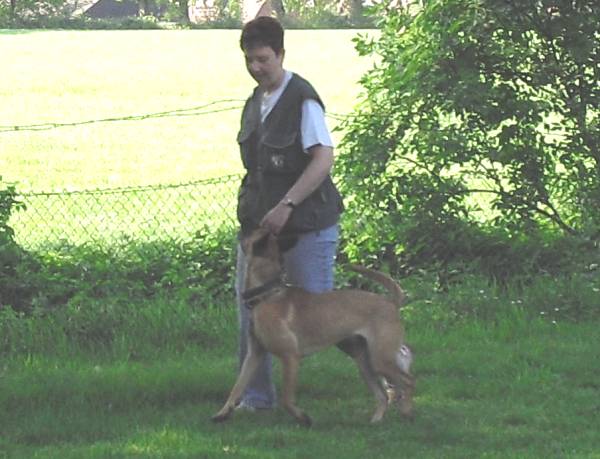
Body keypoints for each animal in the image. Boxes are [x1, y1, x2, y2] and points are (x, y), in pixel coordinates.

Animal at [211, 228, 415, 426]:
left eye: (251, 233)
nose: (240, 230)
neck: (266, 295)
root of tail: (391, 302)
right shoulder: (254, 354)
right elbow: (237, 387)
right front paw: (223, 413)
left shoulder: (290, 357)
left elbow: (287, 399)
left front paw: (302, 417)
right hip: (364, 360)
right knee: (383, 393)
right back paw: (376, 420)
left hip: (380, 358)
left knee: (408, 381)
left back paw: (406, 411)